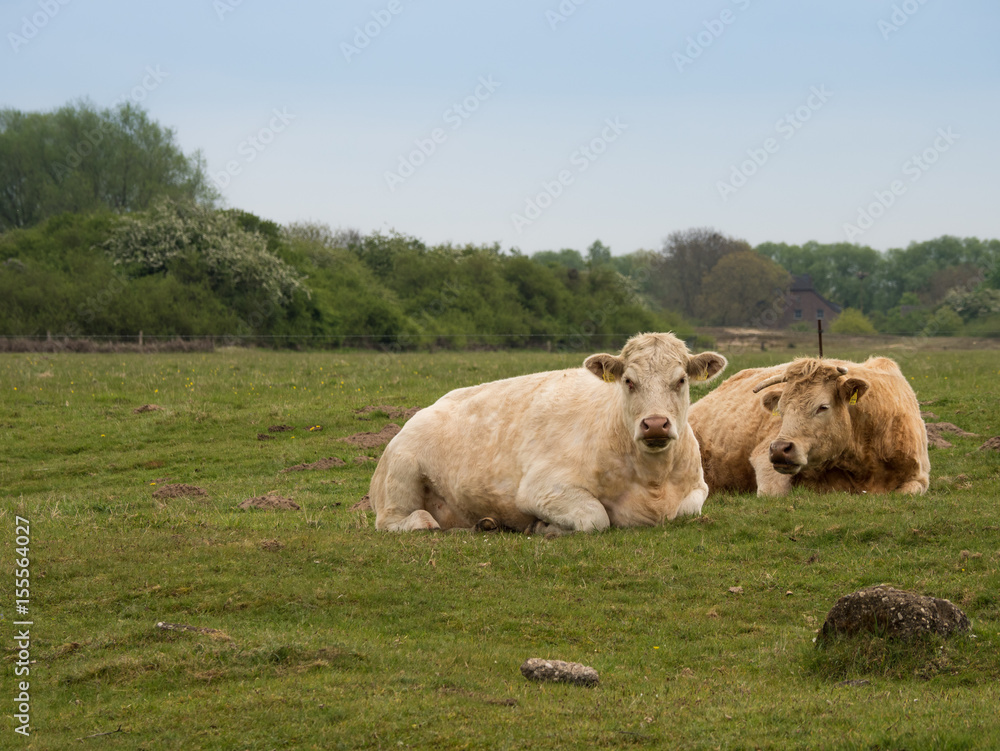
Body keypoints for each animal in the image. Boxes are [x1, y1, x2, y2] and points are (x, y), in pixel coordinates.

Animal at [369, 332, 728, 535]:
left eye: (680, 380)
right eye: (628, 381)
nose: (655, 424)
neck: (652, 481)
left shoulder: (699, 487)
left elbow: (686, 510)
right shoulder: (542, 489)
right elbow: (595, 518)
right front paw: (546, 527)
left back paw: (485, 523)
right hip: (402, 475)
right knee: (396, 520)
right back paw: (424, 523)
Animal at [688, 356, 930, 496]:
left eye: (823, 407)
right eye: (781, 409)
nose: (779, 449)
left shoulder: (919, 476)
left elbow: (907, 492)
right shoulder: (765, 456)